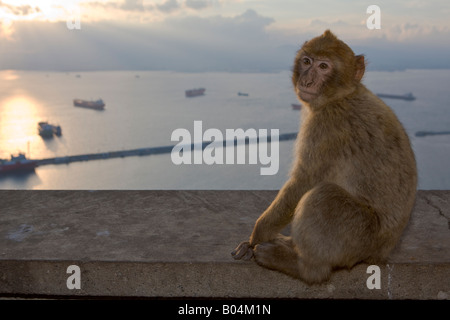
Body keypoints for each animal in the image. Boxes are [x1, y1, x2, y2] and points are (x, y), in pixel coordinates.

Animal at [232, 30, 418, 284]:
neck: (341, 96)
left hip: (358, 235)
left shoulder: (326, 126)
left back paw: (301, 266)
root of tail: (381, 252)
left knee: (324, 196)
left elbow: (304, 182)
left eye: (323, 66)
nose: (306, 81)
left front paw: (256, 236)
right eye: (306, 61)